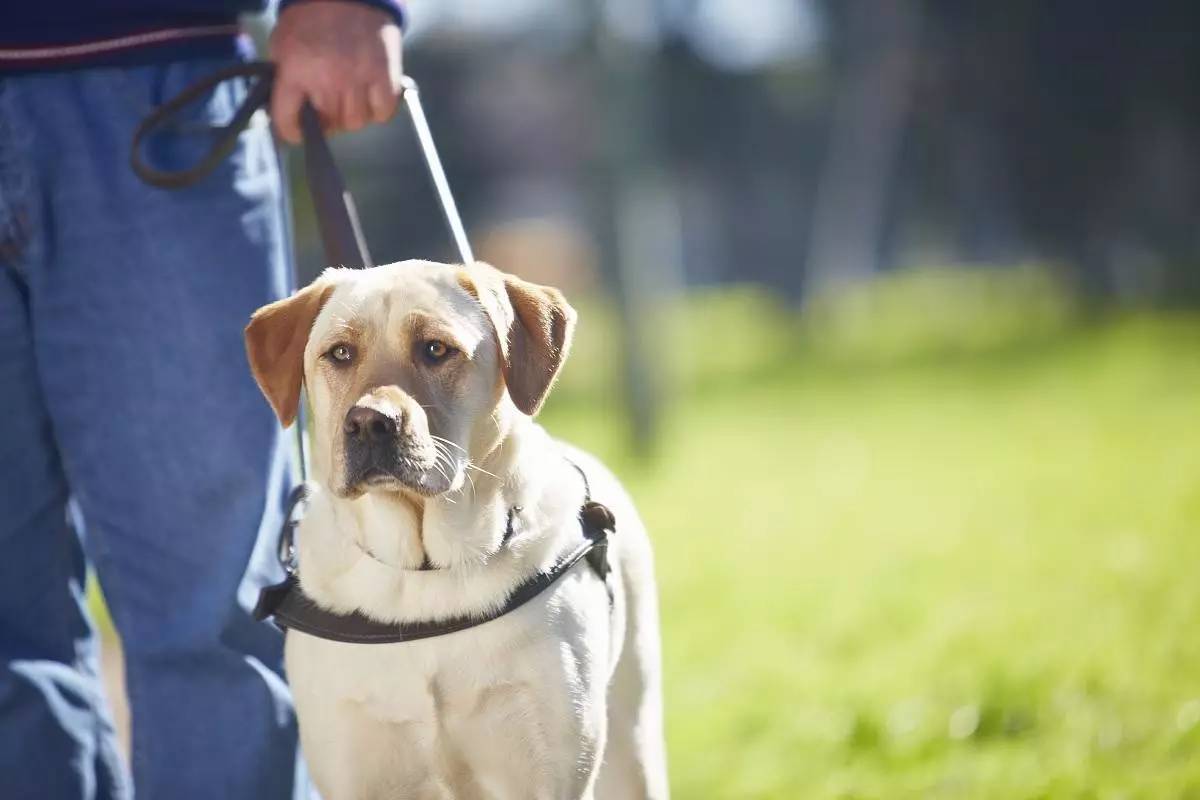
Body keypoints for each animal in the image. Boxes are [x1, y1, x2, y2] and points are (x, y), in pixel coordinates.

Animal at [246, 260, 667, 796]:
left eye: (435, 349)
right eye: (339, 353)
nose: (368, 423)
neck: (423, 573)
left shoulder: (550, 771)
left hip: (634, 742)